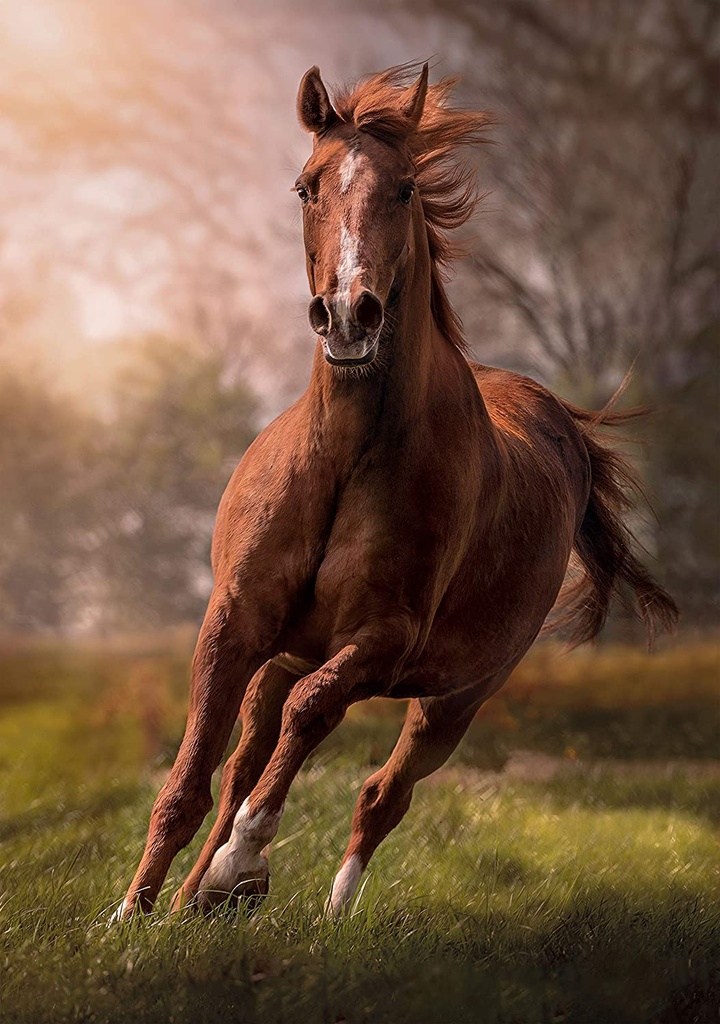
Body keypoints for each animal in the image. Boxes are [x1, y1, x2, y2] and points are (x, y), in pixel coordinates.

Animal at [115, 63, 677, 921]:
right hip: (289, 654)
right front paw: (130, 916)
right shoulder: (234, 623)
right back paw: (194, 900)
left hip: (455, 699)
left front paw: (243, 860)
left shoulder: (384, 639)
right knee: (252, 754)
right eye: (306, 186)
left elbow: (314, 715)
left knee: (380, 791)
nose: (350, 314)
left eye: (406, 187)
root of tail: (560, 421)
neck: (345, 458)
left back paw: (317, 907)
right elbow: (190, 781)